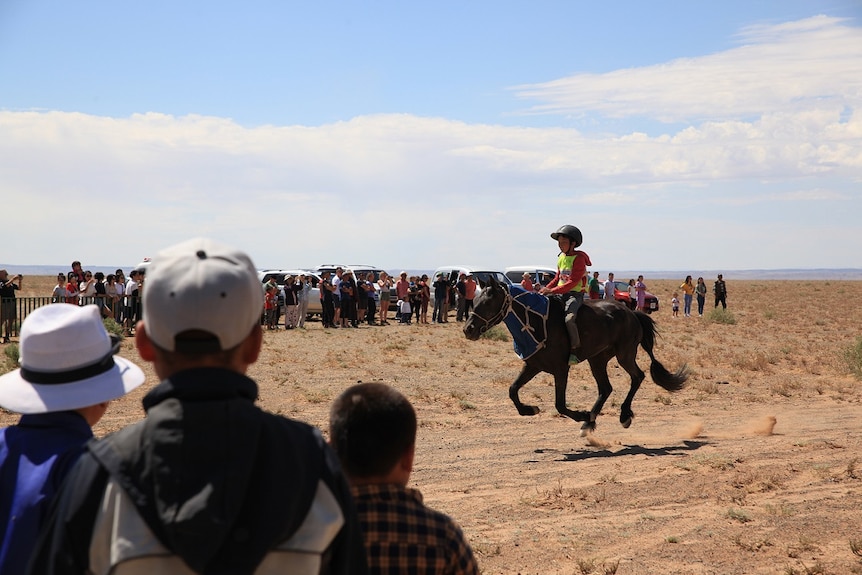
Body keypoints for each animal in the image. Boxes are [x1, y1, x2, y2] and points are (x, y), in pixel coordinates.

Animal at [466, 276, 688, 434]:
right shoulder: (533, 366)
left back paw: (622, 415)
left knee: (637, 376)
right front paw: (530, 409)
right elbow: (512, 390)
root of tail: (632, 313)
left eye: (488, 302)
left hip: (624, 355)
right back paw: (590, 423)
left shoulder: (561, 369)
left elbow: (560, 405)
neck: (538, 321)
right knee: (606, 388)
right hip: (597, 359)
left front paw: (582, 415)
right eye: (474, 300)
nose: (468, 329)